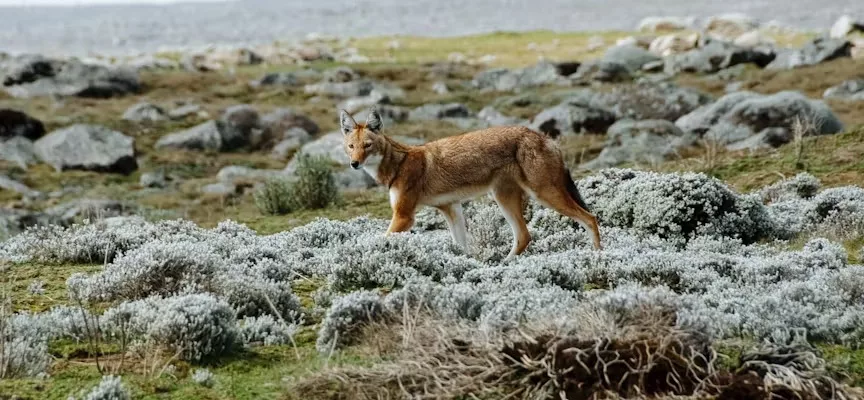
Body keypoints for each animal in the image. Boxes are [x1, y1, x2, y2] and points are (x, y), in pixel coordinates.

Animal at [339, 108, 601, 259]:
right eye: (351, 146)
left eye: (367, 146)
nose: (354, 164)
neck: (399, 164)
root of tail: (546, 139)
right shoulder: (451, 208)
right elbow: (461, 247)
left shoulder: (404, 216)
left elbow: (380, 240)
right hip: (504, 199)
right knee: (524, 236)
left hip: (544, 196)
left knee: (590, 218)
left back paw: (599, 257)